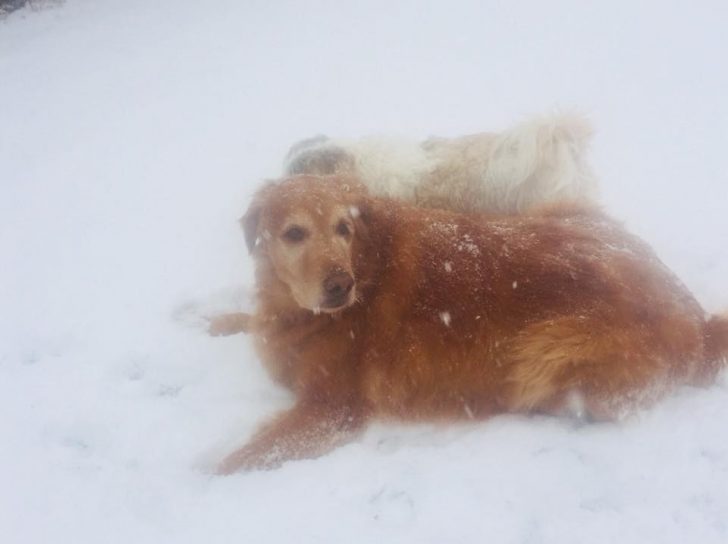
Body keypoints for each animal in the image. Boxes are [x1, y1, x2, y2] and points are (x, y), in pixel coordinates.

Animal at [215, 175, 728, 473]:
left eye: (344, 227)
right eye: (294, 233)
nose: (341, 286)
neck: (367, 261)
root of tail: (698, 321)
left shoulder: (334, 409)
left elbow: (242, 457)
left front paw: (205, 475)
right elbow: (250, 319)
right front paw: (214, 319)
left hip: (549, 347)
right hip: (559, 210)